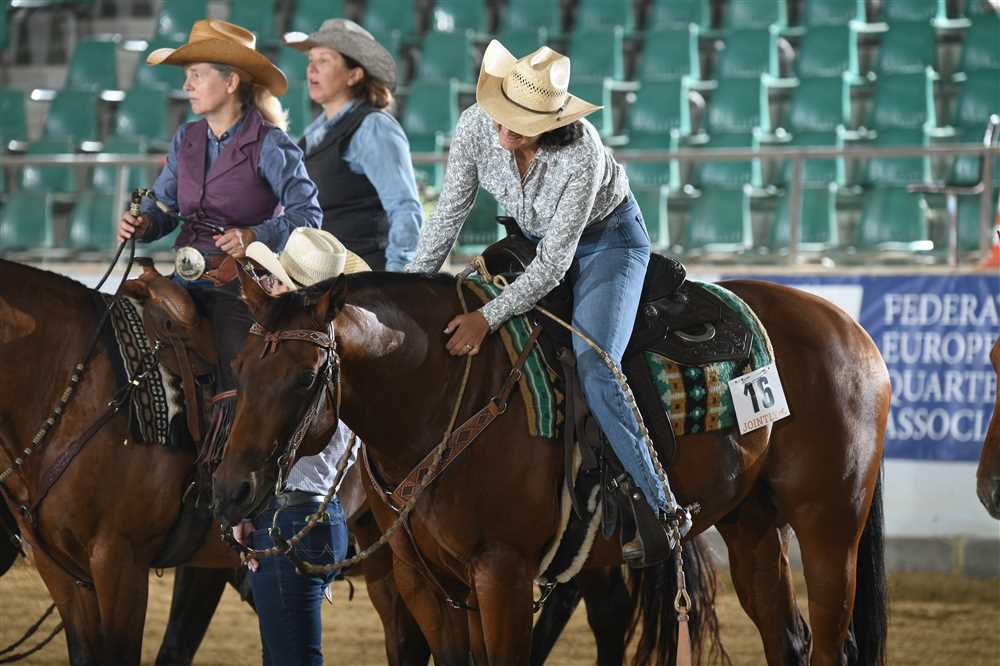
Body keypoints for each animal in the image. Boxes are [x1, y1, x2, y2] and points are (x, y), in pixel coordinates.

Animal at [212, 268, 890, 666]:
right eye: (239, 366)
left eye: (306, 379)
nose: (231, 490)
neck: (449, 394)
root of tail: (849, 327)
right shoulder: (426, 582)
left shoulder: (503, 574)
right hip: (752, 524)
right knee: (788, 639)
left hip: (830, 526)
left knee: (831, 641)